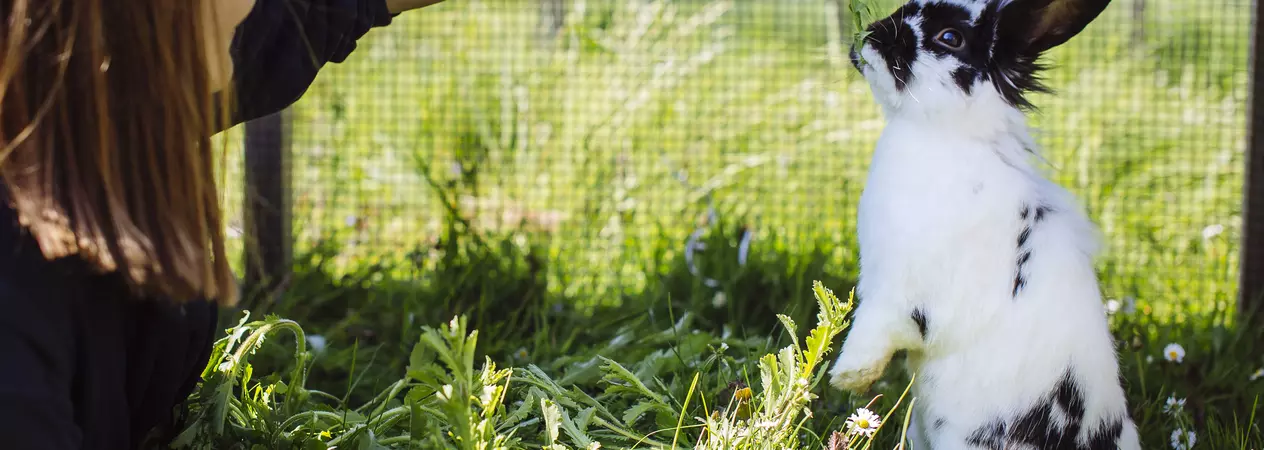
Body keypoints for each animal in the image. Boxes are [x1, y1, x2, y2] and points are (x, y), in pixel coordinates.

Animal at [826, 0, 1143, 449]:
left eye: (950, 38)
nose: (870, 34)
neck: (944, 135)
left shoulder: (903, 294)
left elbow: (877, 327)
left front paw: (849, 376)